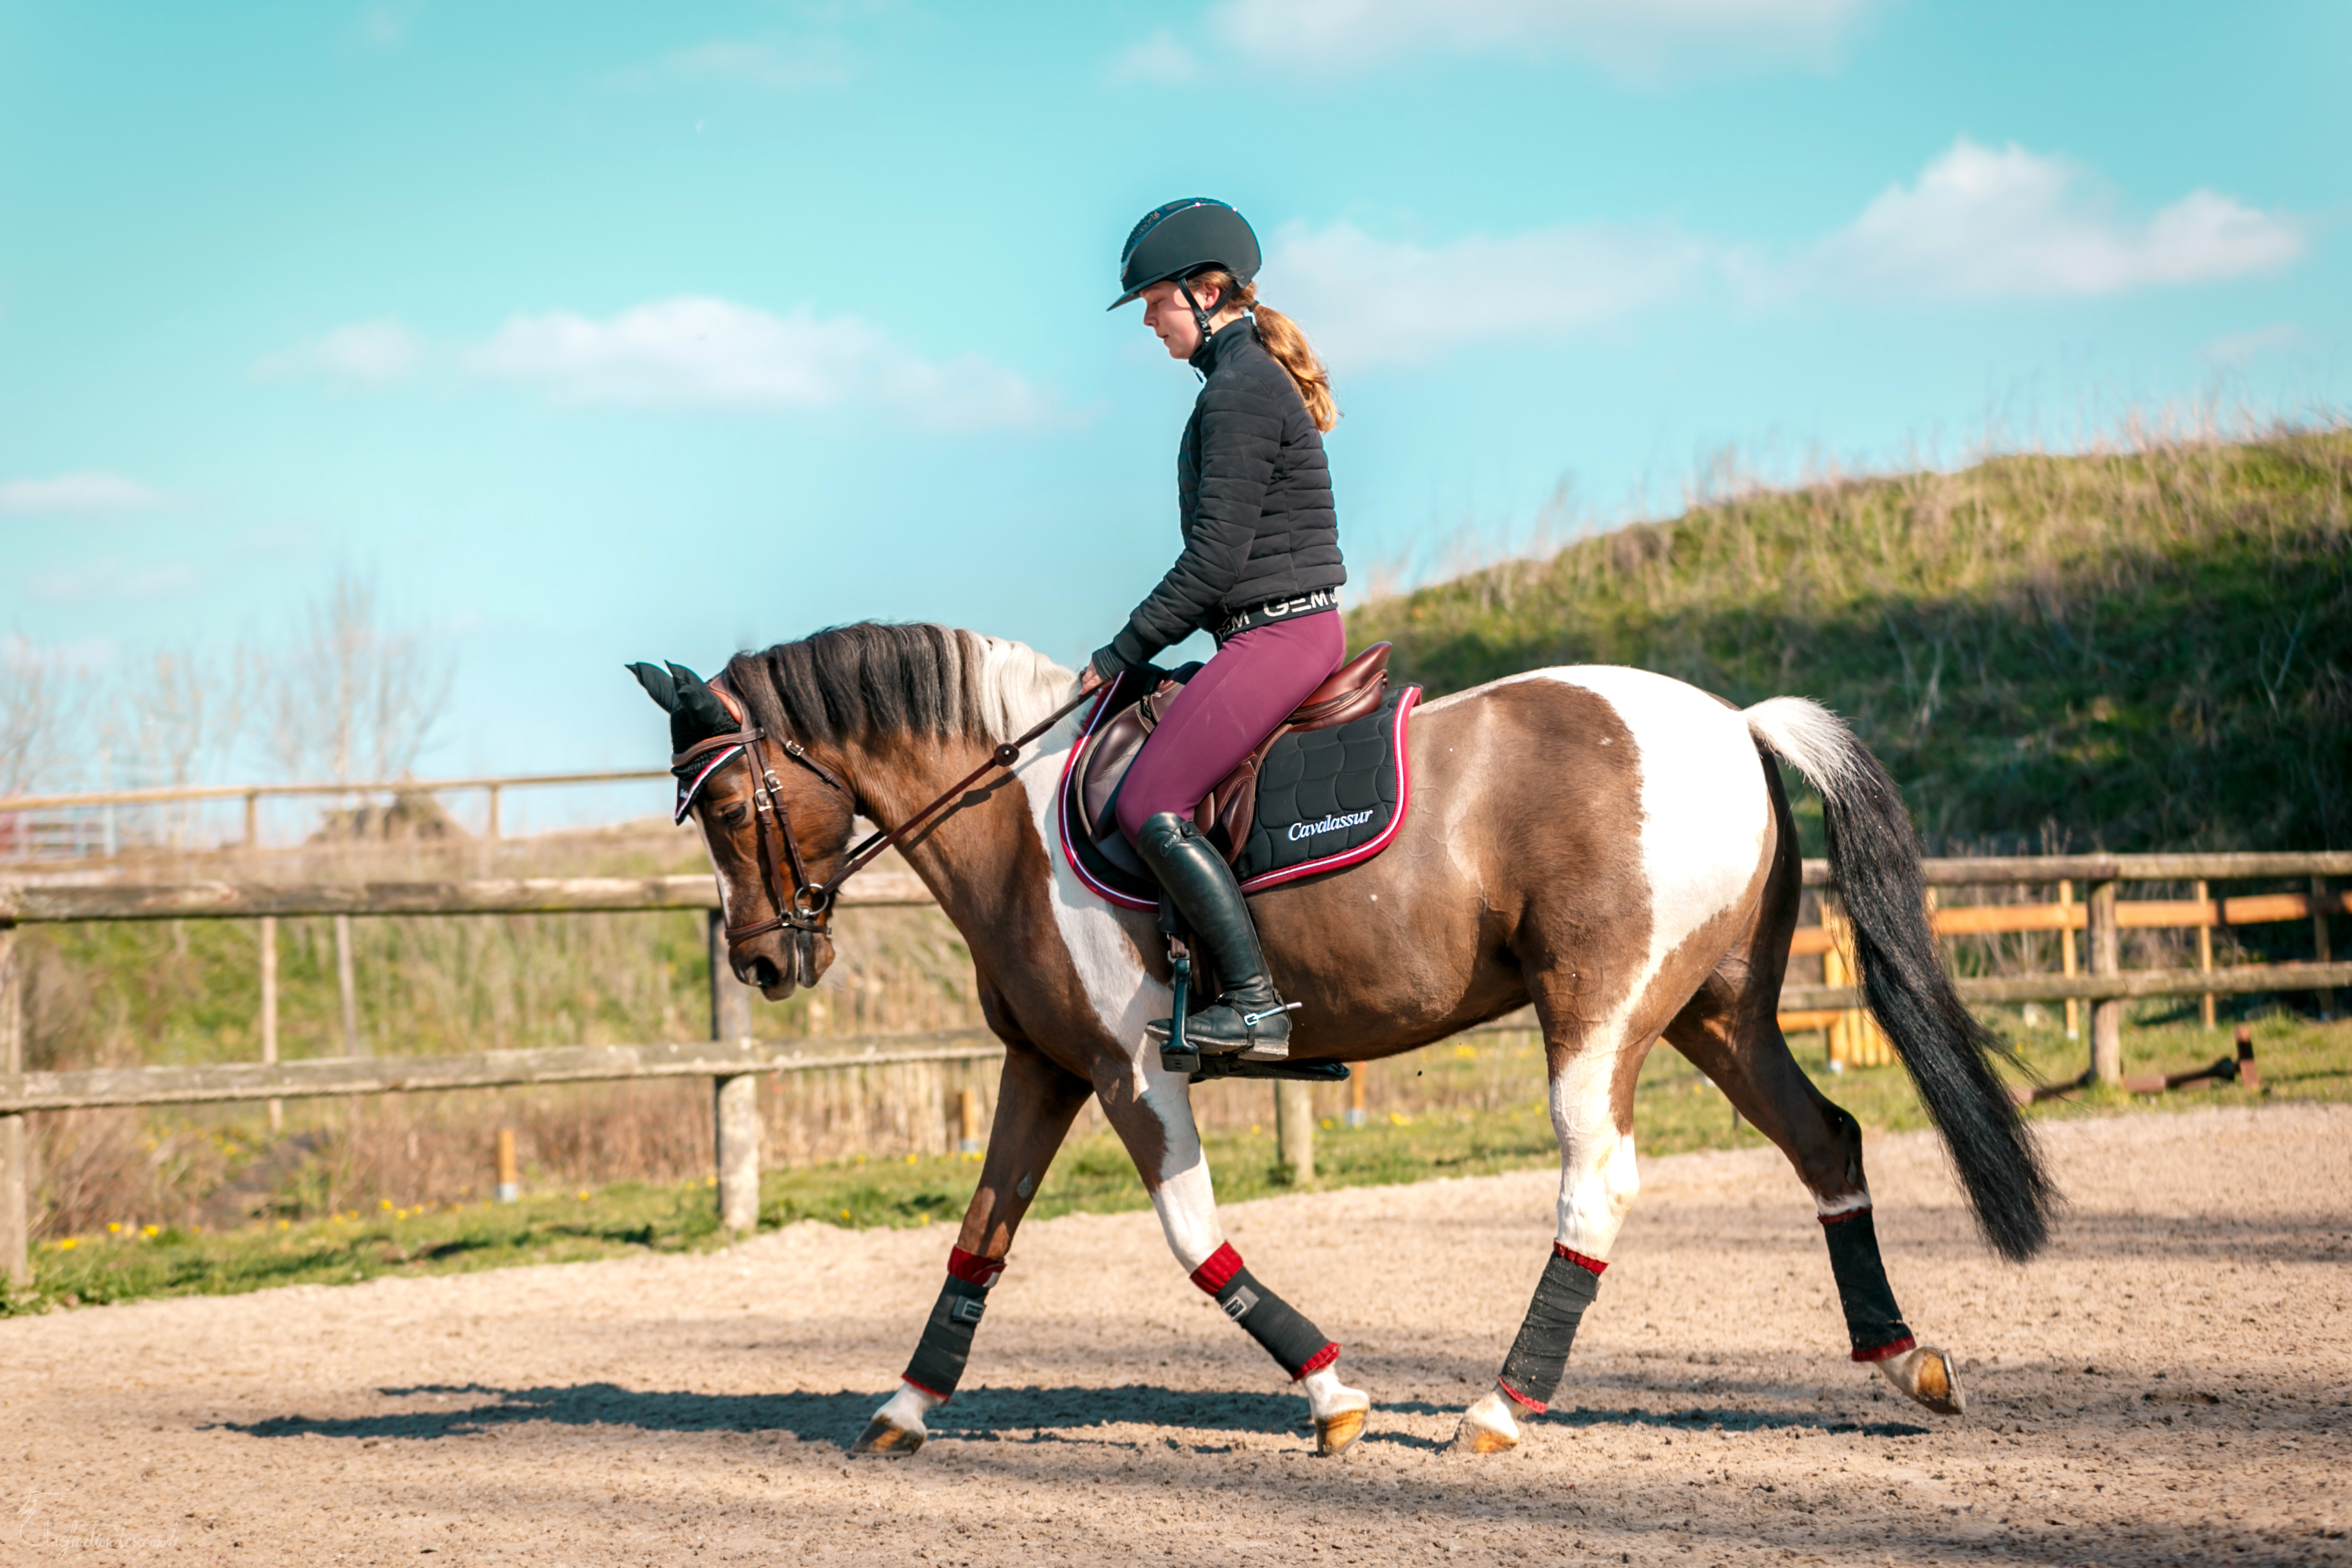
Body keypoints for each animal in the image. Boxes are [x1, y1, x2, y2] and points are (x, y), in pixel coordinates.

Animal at [635, 620, 2051, 1457]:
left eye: (728, 807)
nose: (761, 961)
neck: (1018, 812)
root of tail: (1736, 724)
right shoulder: (1044, 1066)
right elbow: (982, 1234)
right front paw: (903, 1406)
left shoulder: (1132, 1071)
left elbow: (1194, 1240)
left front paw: (1333, 1394)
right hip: (1718, 1013)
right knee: (1827, 1142)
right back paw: (1903, 1361)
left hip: (1599, 1010)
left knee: (1597, 1181)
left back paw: (1500, 1407)